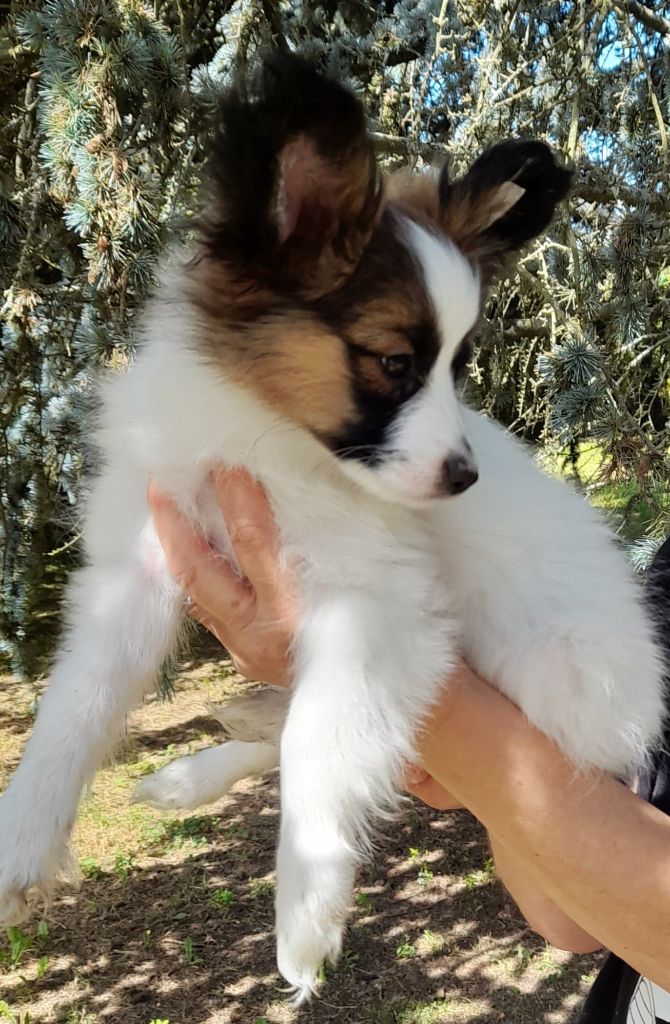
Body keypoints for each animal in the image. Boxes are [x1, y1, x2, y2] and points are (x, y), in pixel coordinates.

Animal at [0, 53, 664, 1002]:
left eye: (459, 367)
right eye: (395, 362)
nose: (464, 477)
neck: (266, 437)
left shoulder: (370, 608)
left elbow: (321, 738)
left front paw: (305, 911)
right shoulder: (137, 567)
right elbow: (73, 709)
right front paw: (19, 844)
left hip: (559, 680)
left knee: (324, 725)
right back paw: (196, 769)